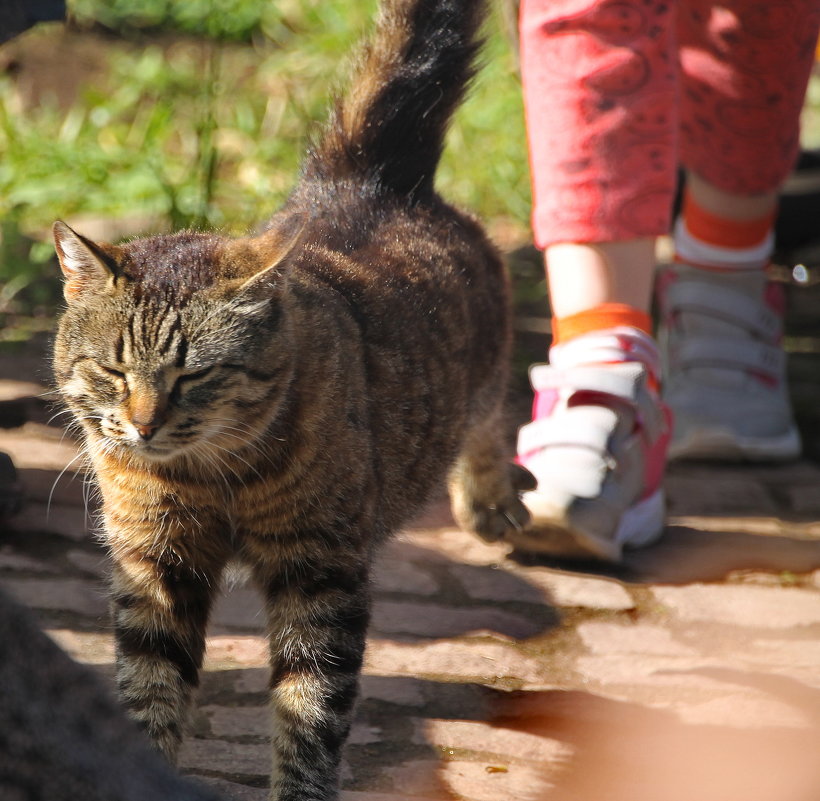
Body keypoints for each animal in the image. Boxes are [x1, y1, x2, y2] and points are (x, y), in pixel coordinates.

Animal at [51, 0, 528, 796]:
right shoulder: (154, 561)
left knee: (492, 416)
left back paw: (491, 502)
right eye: (114, 371)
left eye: (194, 375)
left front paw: (302, 782)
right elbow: (150, 686)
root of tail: (364, 179)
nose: (144, 426)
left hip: (487, 362)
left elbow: (311, 706)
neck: (208, 477)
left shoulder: (320, 569)